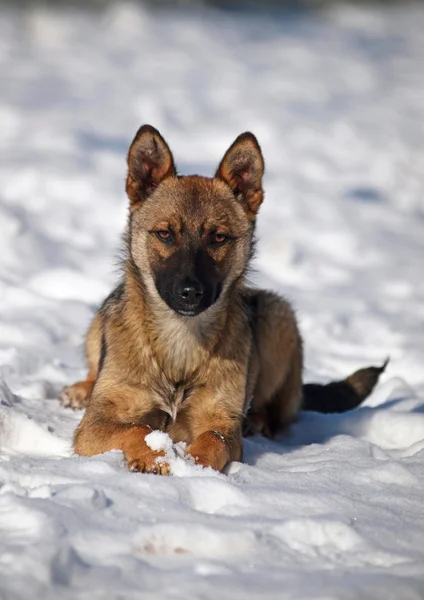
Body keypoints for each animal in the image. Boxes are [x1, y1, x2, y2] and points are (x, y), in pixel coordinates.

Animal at [59, 125, 388, 474]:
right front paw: (154, 458)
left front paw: (195, 467)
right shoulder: (95, 423)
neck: (179, 346)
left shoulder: (222, 421)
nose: (190, 292)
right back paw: (80, 390)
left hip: (278, 314)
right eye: (165, 234)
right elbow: (137, 428)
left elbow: (212, 440)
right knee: (94, 372)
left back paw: (258, 421)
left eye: (218, 238)